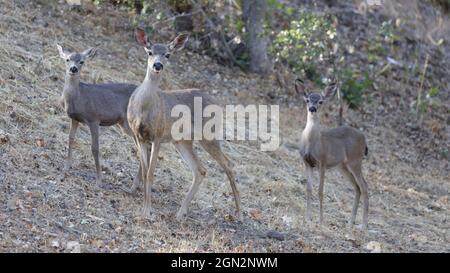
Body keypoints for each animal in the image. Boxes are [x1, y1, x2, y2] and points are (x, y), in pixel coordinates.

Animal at [57, 44, 142, 189]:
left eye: (82, 61)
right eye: (67, 59)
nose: (73, 69)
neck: (77, 97)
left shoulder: (94, 119)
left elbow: (95, 148)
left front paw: (99, 181)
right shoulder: (75, 118)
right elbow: (70, 139)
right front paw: (66, 166)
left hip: (131, 123)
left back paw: (134, 186)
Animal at [128, 28, 241, 219]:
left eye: (168, 54)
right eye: (149, 52)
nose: (158, 65)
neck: (144, 108)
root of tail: (219, 105)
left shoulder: (158, 135)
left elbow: (150, 173)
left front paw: (147, 211)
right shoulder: (139, 136)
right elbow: (144, 171)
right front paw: (142, 208)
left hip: (208, 134)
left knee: (227, 163)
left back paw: (239, 213)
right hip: (182, 141)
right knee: (200, 169)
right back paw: (181, 212)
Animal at [296, 78, 370, 227]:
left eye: (320, 101)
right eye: (307, 100)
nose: (312, 108)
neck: (312, 142)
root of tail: (364, 139)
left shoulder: (322, 162)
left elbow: (320, 191)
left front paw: (320, 220)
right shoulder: (307, 162)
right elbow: (308, 189)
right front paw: (307, 218)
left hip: (355, 160)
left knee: (364, 186)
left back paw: (363, 224)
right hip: (342, 166)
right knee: (357, 187)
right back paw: (350, 222)